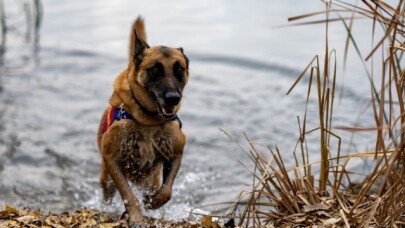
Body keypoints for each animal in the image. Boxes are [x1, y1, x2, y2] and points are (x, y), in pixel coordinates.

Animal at [96, 16, 189, 224]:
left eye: (179, 70)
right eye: (155, 70)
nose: (173, 98)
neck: (149, 120)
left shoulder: (176, 153)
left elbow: (167, 191)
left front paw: (152, 203)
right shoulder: (112, 160)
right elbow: (128, 195)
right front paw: (137, 218)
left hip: (150, 179)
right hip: (106, 178)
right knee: (108, 194)